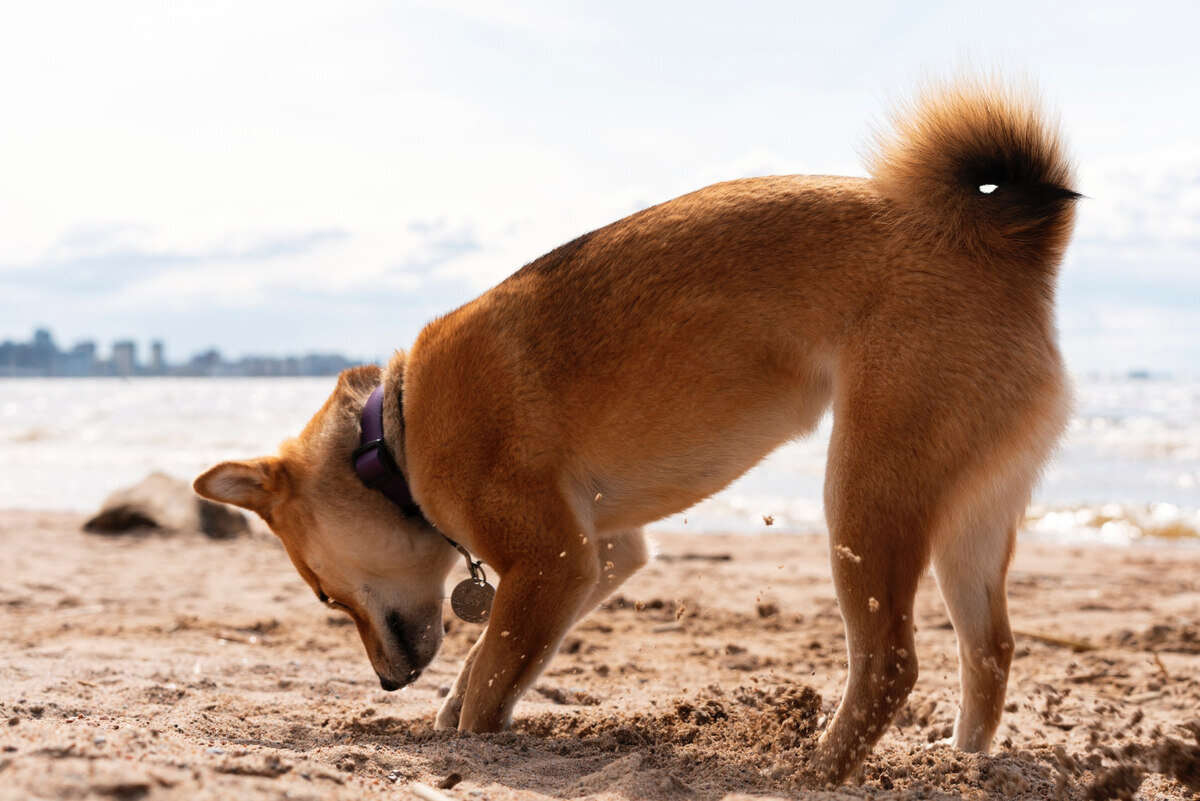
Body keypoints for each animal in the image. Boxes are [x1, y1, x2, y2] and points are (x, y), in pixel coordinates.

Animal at [194, 79, 1080, 781]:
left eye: (323, 594)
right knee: (989, 649)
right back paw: (965, 762)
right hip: (969, 520)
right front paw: (449, 708)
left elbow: (492, 677)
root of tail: (1000, 247)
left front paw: (468, 731)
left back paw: (818, 770)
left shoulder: (552, 560)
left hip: (866, 498)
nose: (384, 685)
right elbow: (493, 658)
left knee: (891, 661)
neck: (397, 436)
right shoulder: (602, 554)